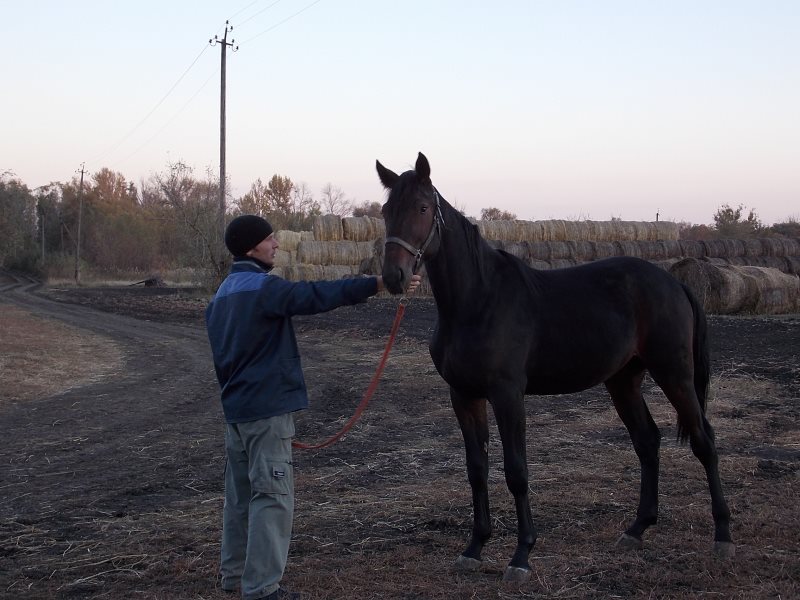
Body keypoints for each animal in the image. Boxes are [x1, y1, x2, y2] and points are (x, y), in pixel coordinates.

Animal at [378, 154, 736, 580]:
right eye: (385, 211)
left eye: (422, 208)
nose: (393, 276)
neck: (478, 301)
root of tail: (674, 282)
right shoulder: (463, 395)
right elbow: (476, 469)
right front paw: (474, 548)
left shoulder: (507, 395)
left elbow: (516, 471)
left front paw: (521, 556)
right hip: (624, 380)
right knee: (647, 441)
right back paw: (636, 529)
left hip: (674, 374)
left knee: (704, 441)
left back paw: (723, 536)